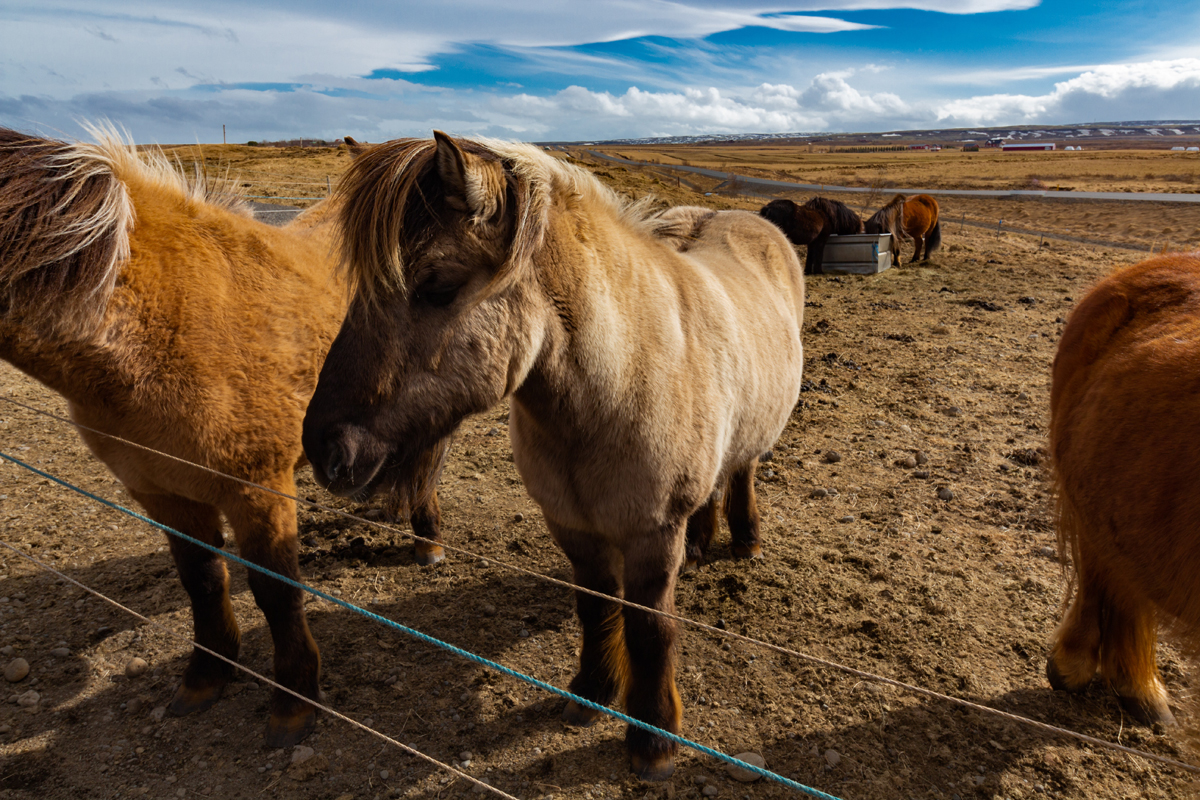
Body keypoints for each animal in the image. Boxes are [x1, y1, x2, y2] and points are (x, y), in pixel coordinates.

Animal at [304, 133, 806, 782]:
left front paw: (654, 741)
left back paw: (744, 540)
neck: (621, 381)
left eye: (436, 285)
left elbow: (651, 629)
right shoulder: (571, 525)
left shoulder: (650, 534)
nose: (324, 448)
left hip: (752, 442)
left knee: (741, 471)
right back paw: (702, 542)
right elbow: (595, 609)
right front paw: (591, 693)